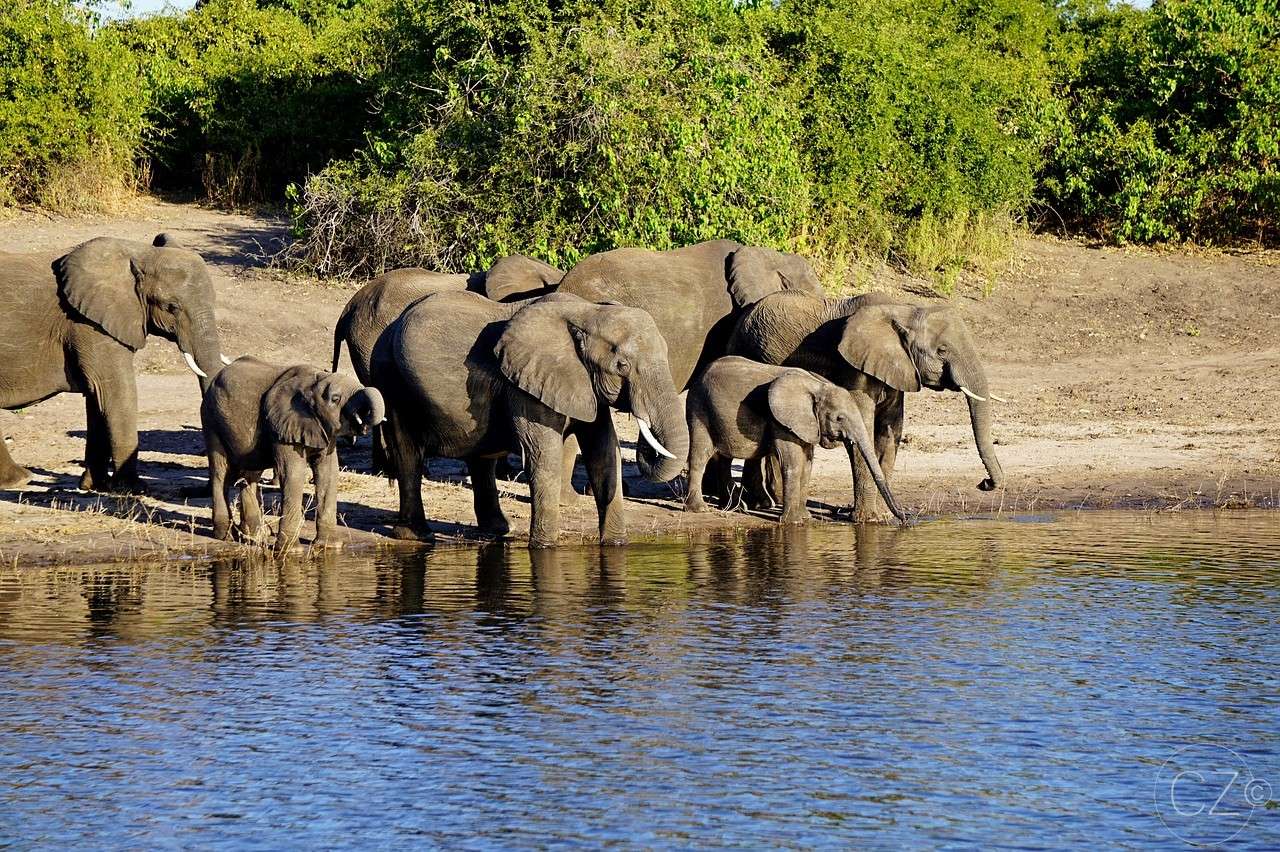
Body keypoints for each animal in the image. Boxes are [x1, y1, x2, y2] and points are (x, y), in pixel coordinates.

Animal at [0, 234, 225, 491]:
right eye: (172, 307)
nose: (195, 491)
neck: (139, 253)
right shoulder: (88, 324)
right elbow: (116, 391)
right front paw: (132, 488)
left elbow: (97, 397)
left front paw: (95, 486)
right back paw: (20, 480)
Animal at [199, 355, 384, 550]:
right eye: (335, 399)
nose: (361, 420)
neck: (315, 381)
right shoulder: (283, 425)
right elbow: (293, 473)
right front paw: (291, 551)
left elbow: (328, 473)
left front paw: (329, 547)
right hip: (211, 419)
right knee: (221, 472)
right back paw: (226, 536)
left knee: (249, 475)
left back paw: (257, 535)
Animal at [371, 290, 691, 544]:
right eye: (621, 365)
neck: (587, 312)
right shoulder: (525, 385)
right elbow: (544, 456)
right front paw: (545, 547)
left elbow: (604, 453)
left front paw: (615, 545)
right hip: (391, 380)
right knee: (408, 454)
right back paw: (416, 535)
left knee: (481, 457)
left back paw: (499, 530)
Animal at [686, 353, 906, 524]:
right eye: (839, 418)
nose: (904, 518)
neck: (817, 386)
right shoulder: (779, 420)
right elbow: (793, 462)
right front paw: (792, 522)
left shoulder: (807, 423)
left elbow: (807, 463)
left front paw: (805, 518)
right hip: (699, 408)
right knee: (701, 455)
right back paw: (700, 509)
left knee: (723, 458)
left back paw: (735, 507)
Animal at [732, 290, 1008, 516]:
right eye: (942, 350)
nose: (984, 484)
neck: (905, 311)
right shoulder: (853, 369)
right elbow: (863, 430)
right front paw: (869, 519)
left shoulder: (897, 369)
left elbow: (889, 434)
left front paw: (883, 517)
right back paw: (762, 503)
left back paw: (761, 503)